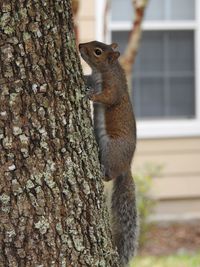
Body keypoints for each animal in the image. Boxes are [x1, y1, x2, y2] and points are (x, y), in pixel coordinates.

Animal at [79, 40, 138, 266]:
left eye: (97, 51)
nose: (79, 45)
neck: (104, 71)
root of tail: (126, 166)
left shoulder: (113, 88)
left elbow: (107, 97)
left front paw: (91, 95)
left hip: (111, 148)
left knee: (109, 175)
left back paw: (102, 171)